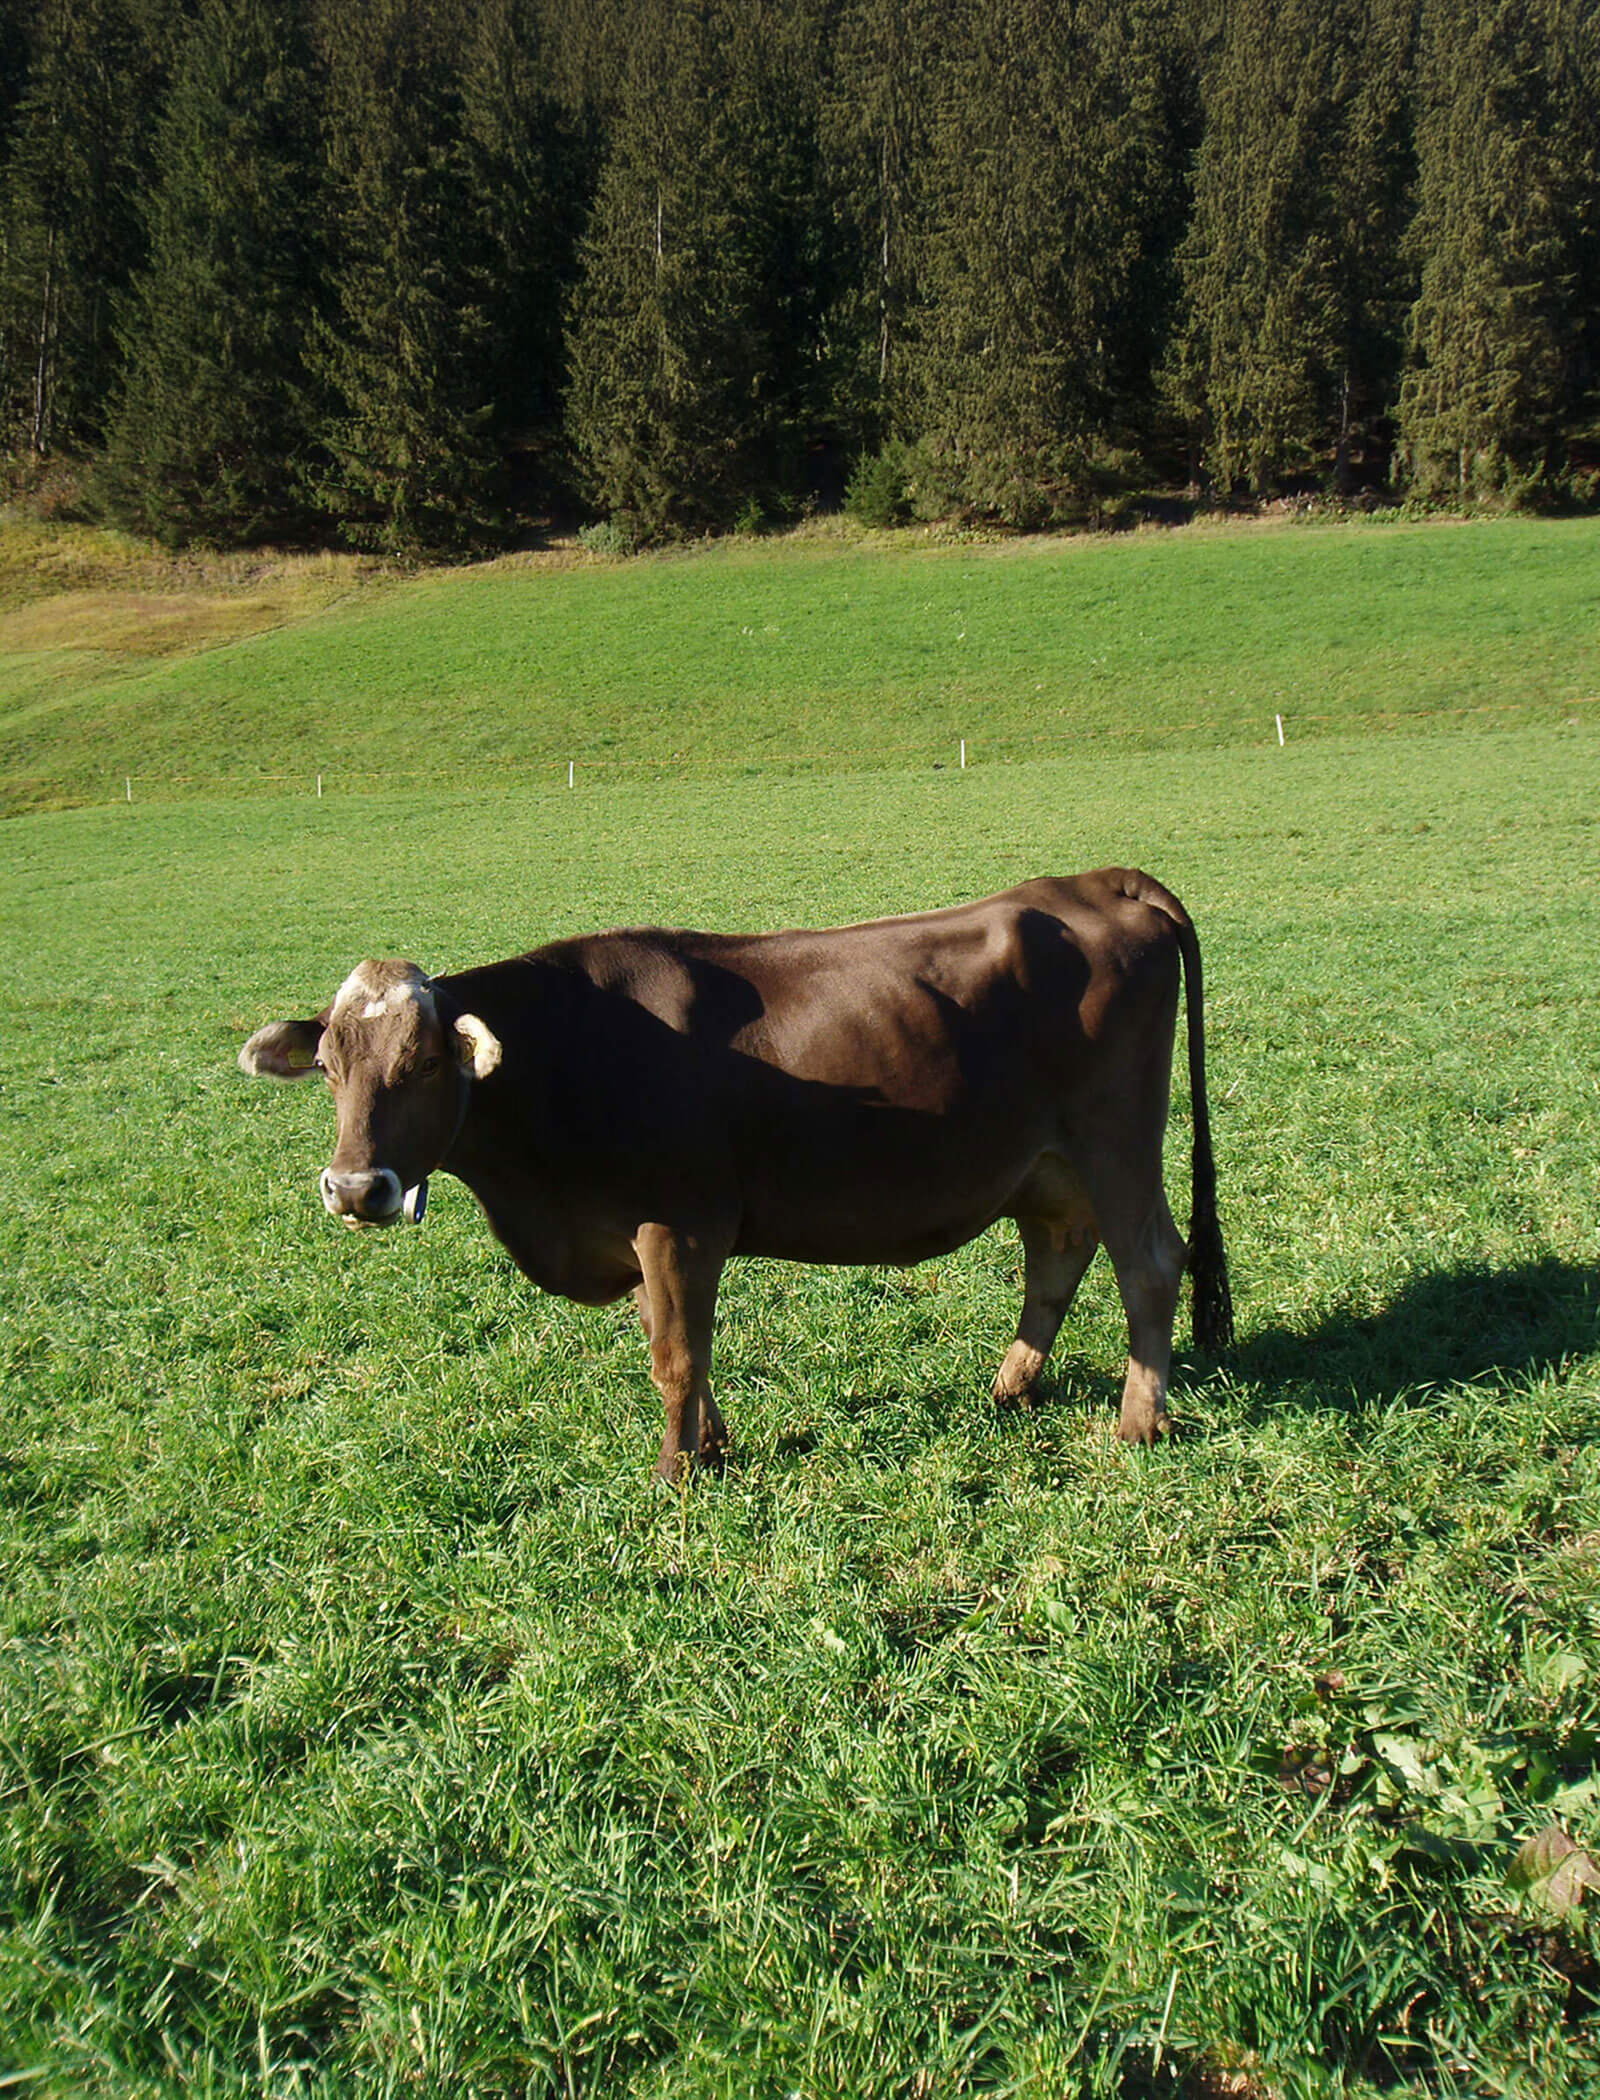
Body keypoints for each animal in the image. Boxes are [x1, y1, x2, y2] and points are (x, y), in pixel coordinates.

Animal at [239, 871, 1232, 1476]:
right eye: (328, 1066)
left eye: (420, 1065)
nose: (355, 1190)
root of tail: (1093, 882)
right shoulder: (637, 1234)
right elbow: (671, 1339)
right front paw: (710, 1445)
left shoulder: (678, 1223)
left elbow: (677, 1353)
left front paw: (676, 1472)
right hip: (1049, 1162)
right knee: (1058, 1255)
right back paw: (1013, 1386)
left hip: (1116, 1138)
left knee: (1149, 1263)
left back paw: (1138, 1421)